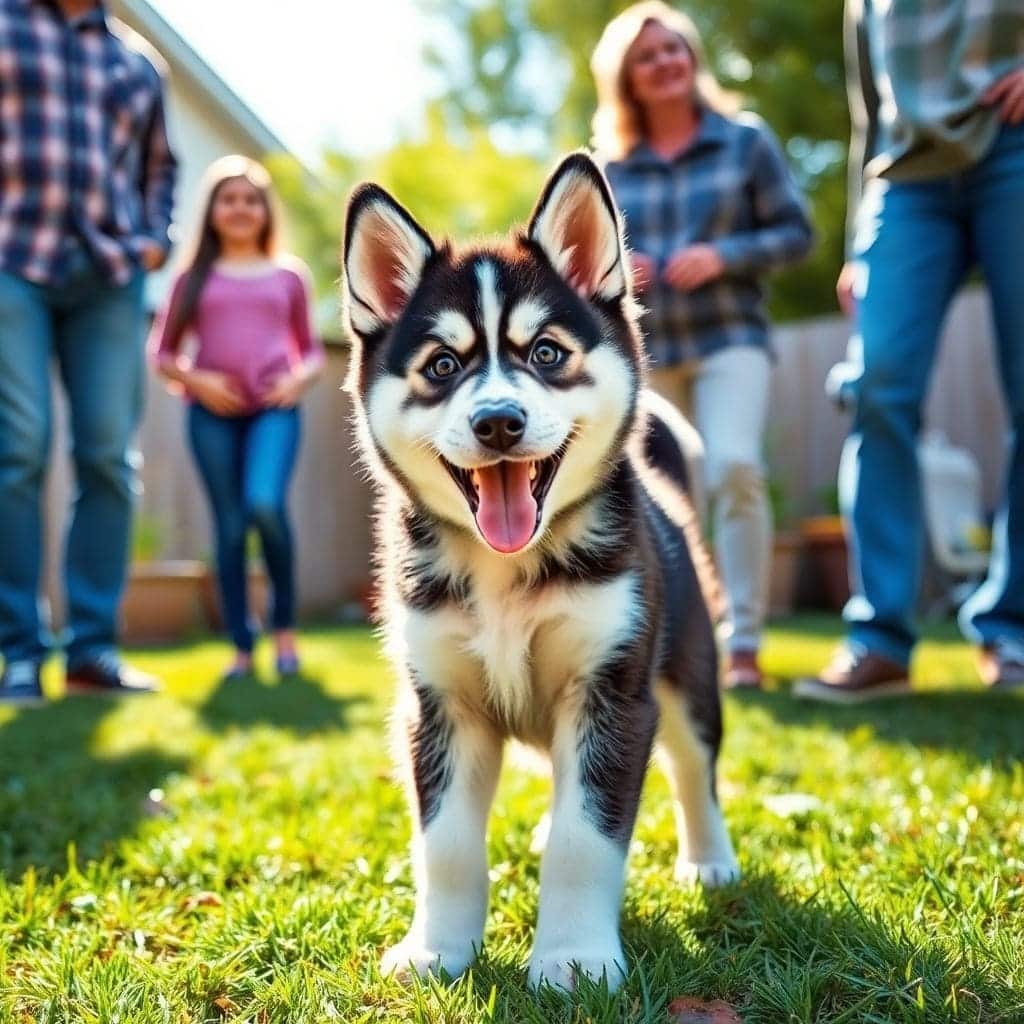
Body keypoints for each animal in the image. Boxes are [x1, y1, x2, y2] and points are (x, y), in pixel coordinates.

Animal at [342, 151, 737, 991]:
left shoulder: (612, 697)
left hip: (687, 677)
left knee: (696, 769)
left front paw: (575, 956)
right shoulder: (438, 709)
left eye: (547, 353)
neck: (506, 574)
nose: (498, 422)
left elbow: (587, 841)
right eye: (443, 365)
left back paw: (711, 860)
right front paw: (437, 948)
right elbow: (446, 846)